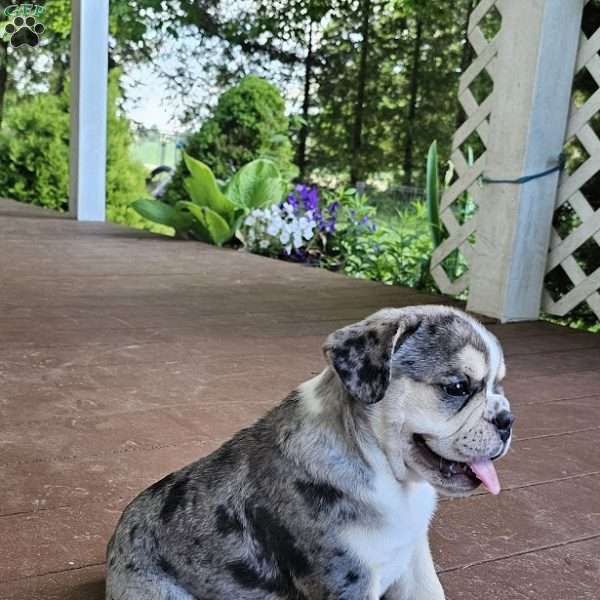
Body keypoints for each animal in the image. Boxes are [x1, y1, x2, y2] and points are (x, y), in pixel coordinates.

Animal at [105, 308, 512, 596]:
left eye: (498, 385)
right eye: (457, 387)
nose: (507, 419)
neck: (387, 473)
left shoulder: (414, 565)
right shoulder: (347, 580)